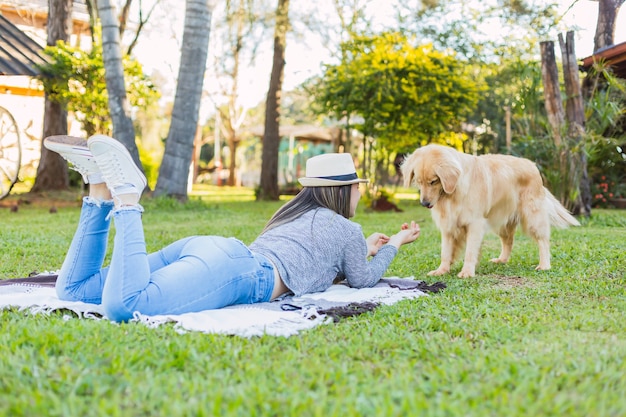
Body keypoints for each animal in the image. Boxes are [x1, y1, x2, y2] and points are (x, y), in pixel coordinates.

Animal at [400, 143, 580, 276]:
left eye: (433, 181)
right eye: (418, 181)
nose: (424, 203)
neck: (452, 193)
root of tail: (533, 165)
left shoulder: (475, 224)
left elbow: (470, 252)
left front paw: (466, 272)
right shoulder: (448, 226)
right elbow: (446, 251)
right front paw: (442, 270)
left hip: (532, 217)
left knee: (543, 241)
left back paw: (544, 265)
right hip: (501, 221)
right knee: (509, 241)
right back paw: (502, 260)